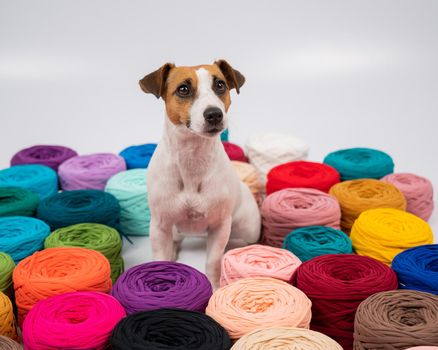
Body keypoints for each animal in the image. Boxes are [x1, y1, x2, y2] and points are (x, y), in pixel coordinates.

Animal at [140, 59, 262, 288]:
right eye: (183, 89)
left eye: (220, 85)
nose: (214, 114)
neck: (192, 158)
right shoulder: (159, 226)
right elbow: (160, 257)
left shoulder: (220, 226)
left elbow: (213, 262)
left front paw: (214, 288)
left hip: (248, 227)